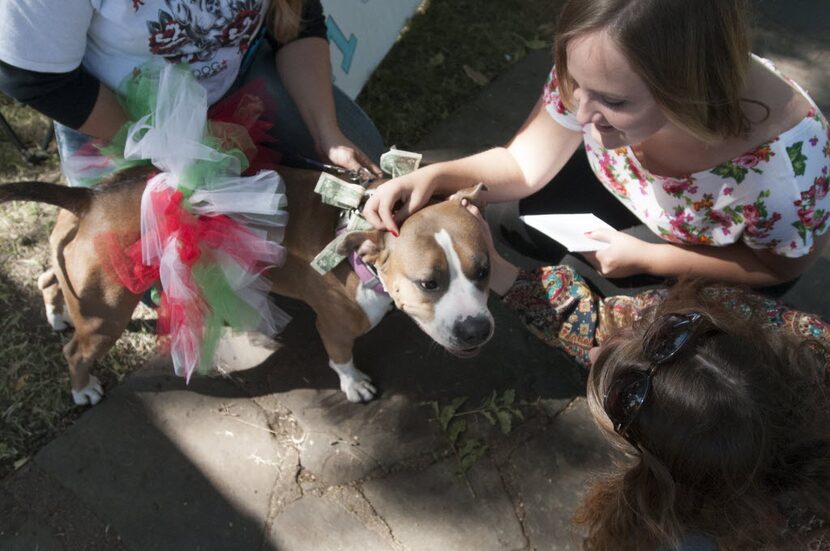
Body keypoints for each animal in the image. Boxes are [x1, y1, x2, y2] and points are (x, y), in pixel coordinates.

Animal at [0, 166, 494, 404]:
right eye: (428, 283)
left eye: (484, 270)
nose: (477, 330)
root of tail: (90, 196)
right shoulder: (335, 325)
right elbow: (341, 358)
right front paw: (354, 385)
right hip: (108, 312)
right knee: (76, 352)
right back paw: (82, 388)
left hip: (79, 272)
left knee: (48, 275)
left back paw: (57, 313)